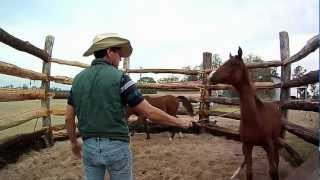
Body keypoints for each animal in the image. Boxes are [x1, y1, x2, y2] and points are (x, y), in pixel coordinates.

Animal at [209, 47, 284, 180]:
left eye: (233, 64)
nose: (211, 76)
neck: (255, 119)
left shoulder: (268, 145)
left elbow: (273, 171)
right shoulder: (247, 146)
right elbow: (249, 173)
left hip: (275, 140)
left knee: (277, 159)